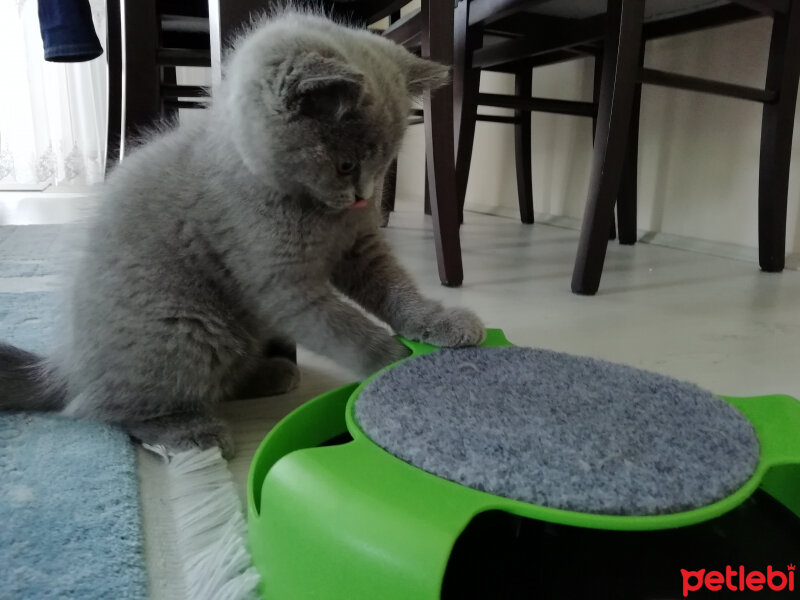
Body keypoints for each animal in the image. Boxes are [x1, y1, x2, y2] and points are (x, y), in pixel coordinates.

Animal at [0, 11, 484, 458]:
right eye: (345, 164)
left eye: (384, 162)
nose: (365, 197)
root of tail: (67, 367)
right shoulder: (280, 282)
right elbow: (341, 325)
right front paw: (392, 363)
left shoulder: (359, 249)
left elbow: (396, 289)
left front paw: (441, 323)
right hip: (187, 328)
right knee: (107, 408)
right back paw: (189, 430)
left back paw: (271, 373)